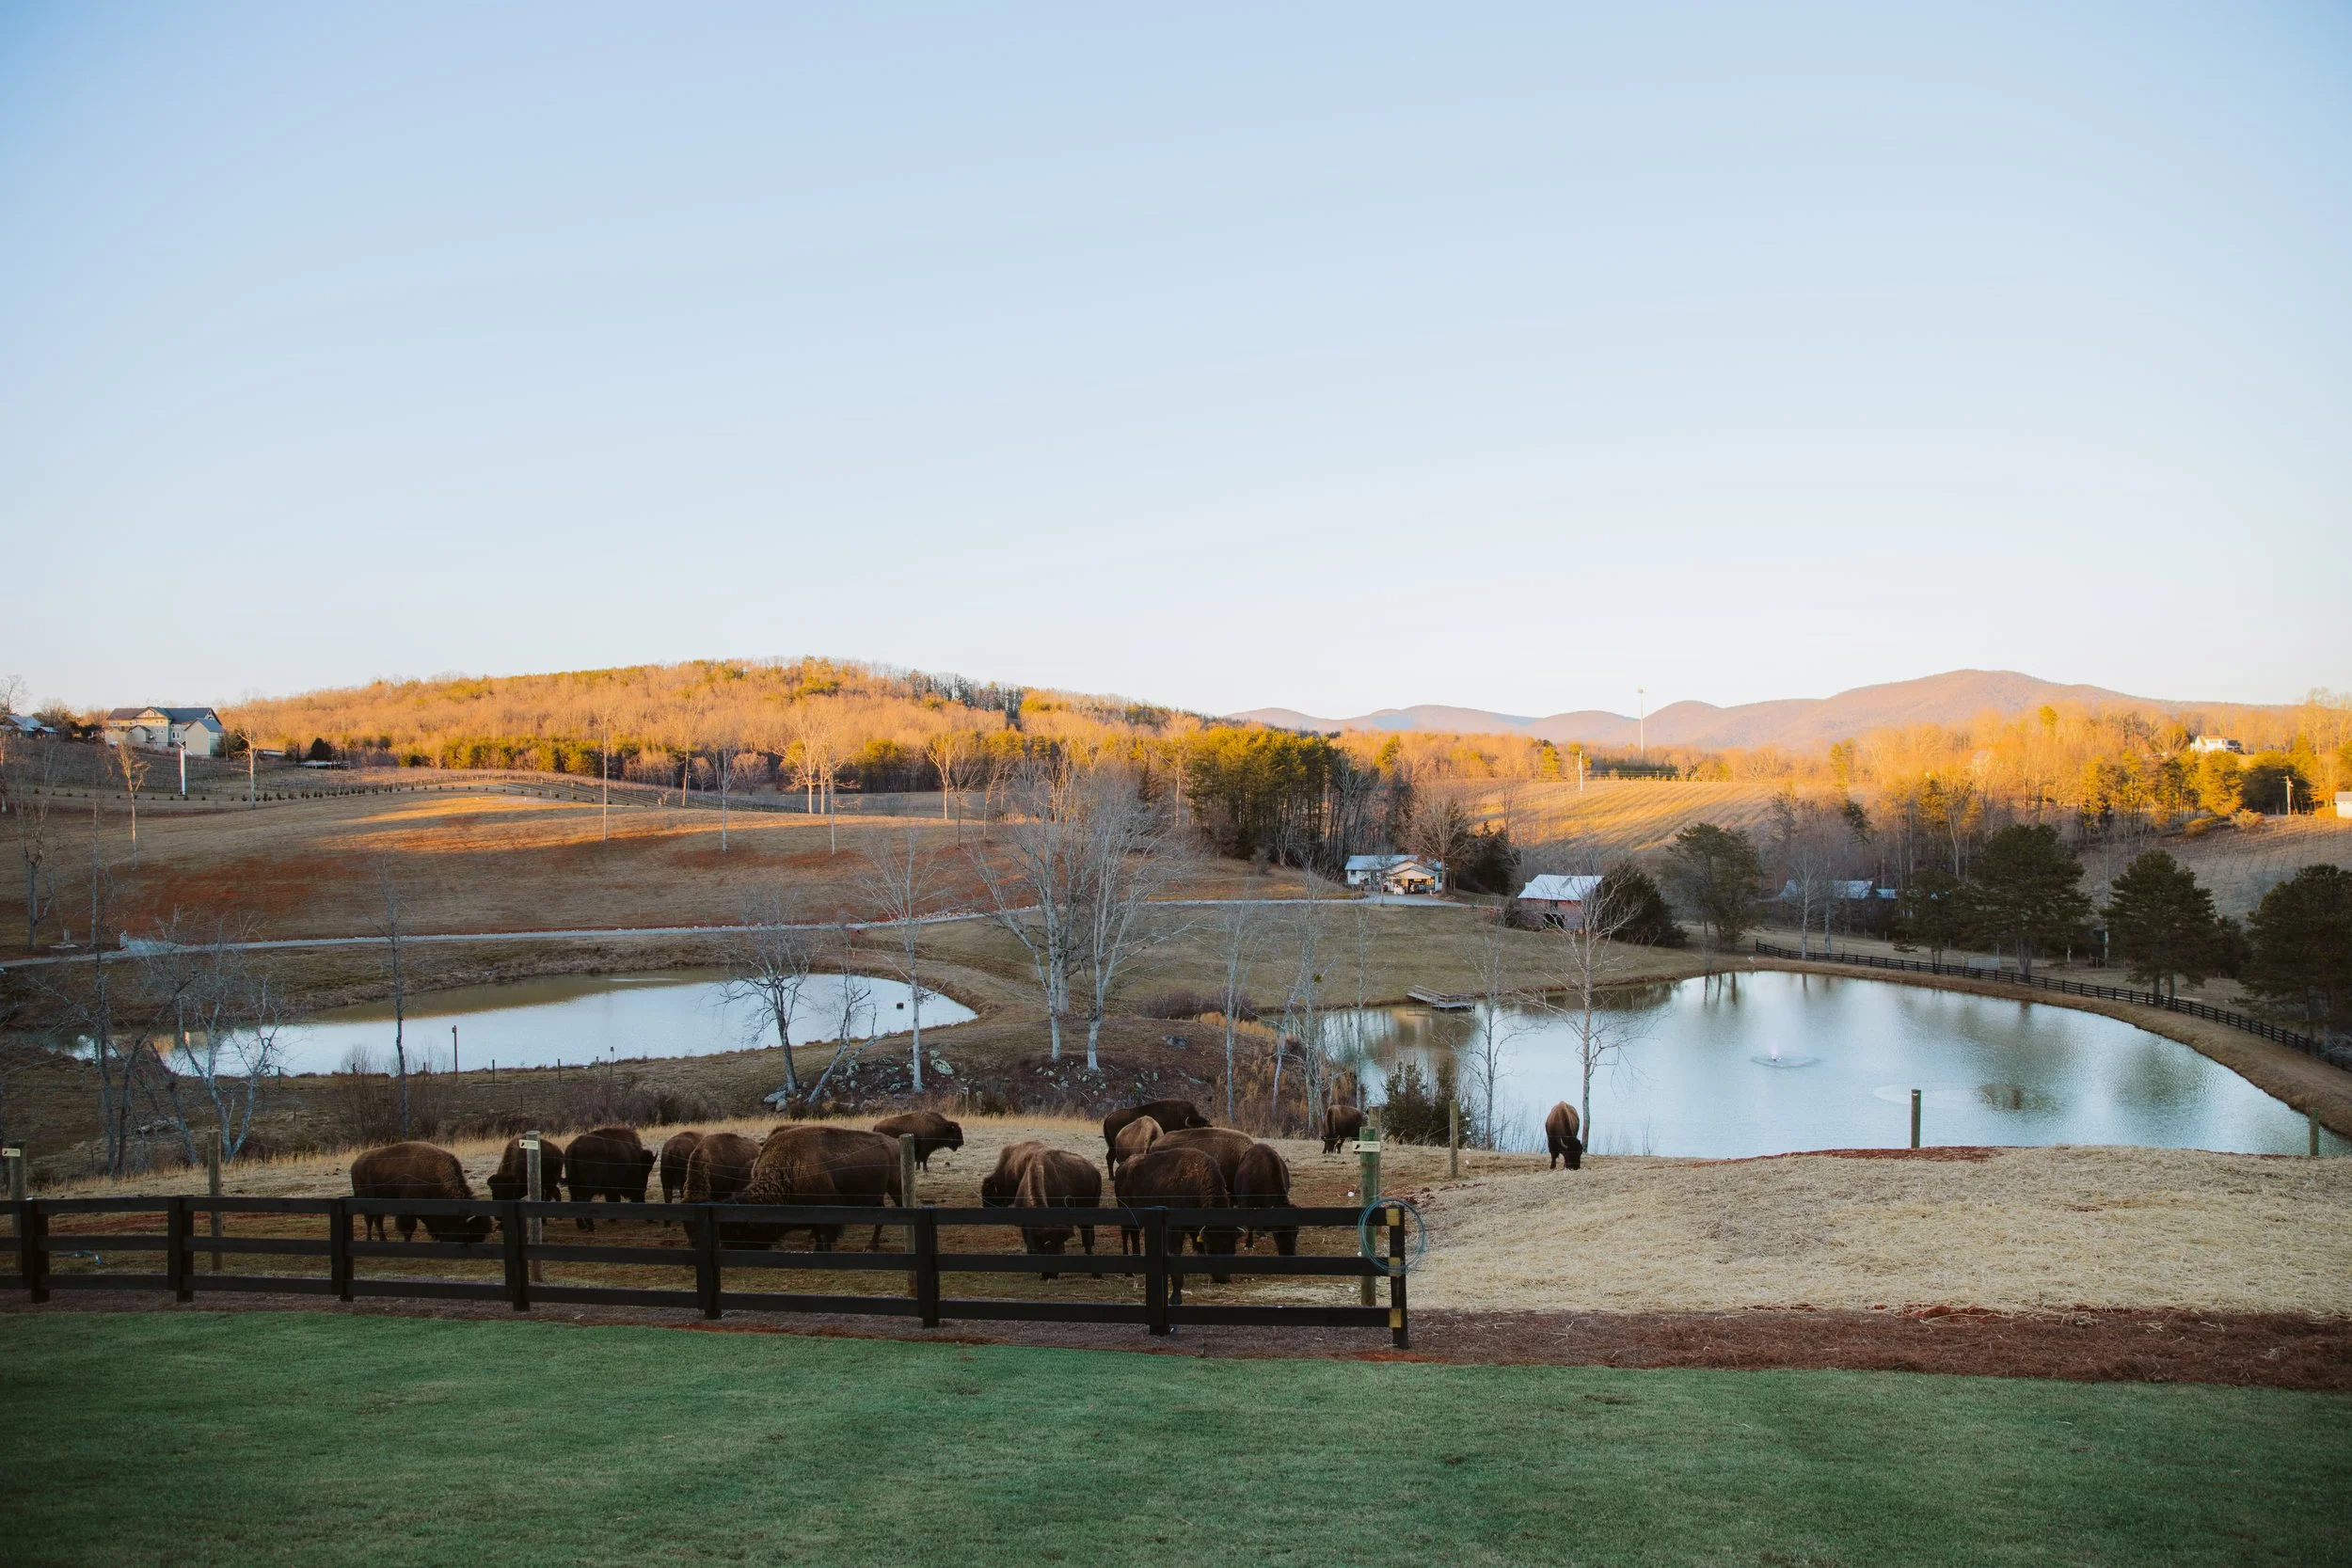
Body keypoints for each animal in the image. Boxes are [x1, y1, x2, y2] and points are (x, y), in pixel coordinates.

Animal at [349, 1142, 493, 1244]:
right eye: (468, 1231)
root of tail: (356, 1163)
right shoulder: (407, 1211)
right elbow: (408, 1228)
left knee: (378, 1220)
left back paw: (383, 1239)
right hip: (365, 1200)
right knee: (369, 1220)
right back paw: (369, 1239)